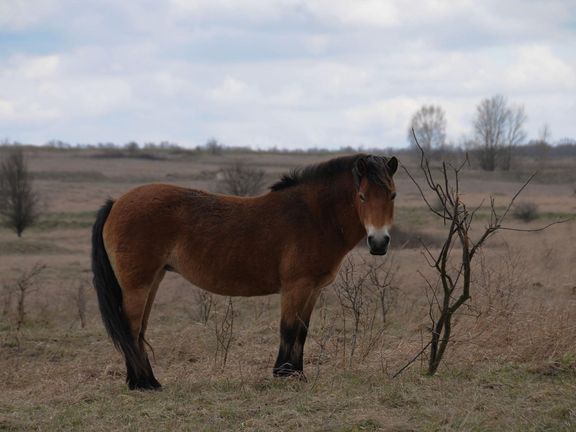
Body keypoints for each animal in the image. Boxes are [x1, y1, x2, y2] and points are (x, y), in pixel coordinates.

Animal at [91, 154, 396, 390]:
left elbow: (302, 331)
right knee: (131, 328)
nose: (379, 243)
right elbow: (289, 329)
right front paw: (284, 374)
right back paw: (142, 383)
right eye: (362, 196)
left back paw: (148, 381)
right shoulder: (296, 286)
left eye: (392, 195)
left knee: (139, 329)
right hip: (137, 285)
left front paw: (297, 373)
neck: (314, 216)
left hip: (153, 280)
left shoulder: (312, 290)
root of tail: (117, 202)